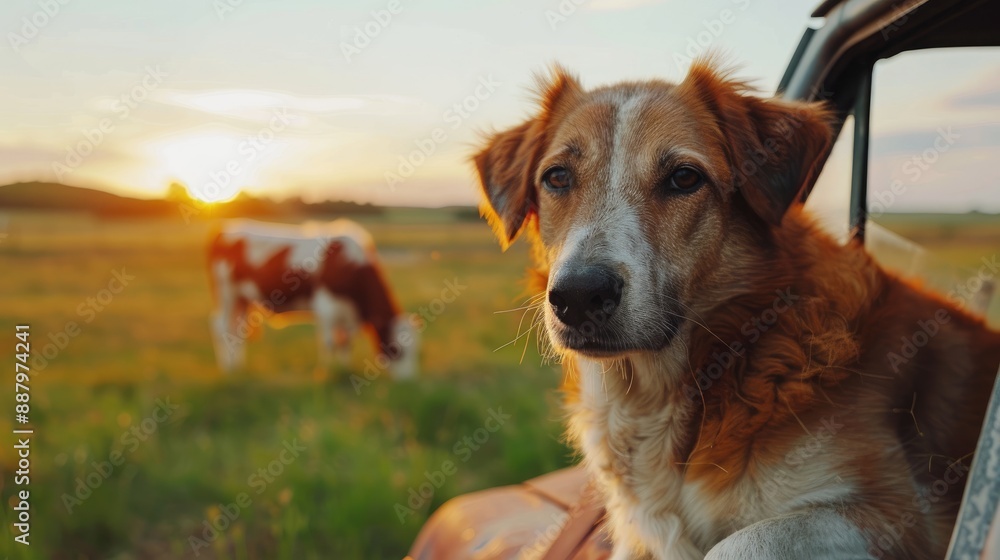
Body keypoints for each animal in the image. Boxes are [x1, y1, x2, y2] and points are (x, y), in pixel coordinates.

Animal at [207, 218, 419, 379]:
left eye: (416, 352)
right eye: (395, 349)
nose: (407, 383)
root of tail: (225, 227)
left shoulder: (346, 313)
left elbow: (346, 343)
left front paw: (344, 369)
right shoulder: (327, 306)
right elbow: (329, 343)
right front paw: (326, 373)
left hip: (242, 299)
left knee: (236, 331)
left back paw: (237, 368)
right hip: (226, 294)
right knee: (221, 328)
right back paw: (227, 369)